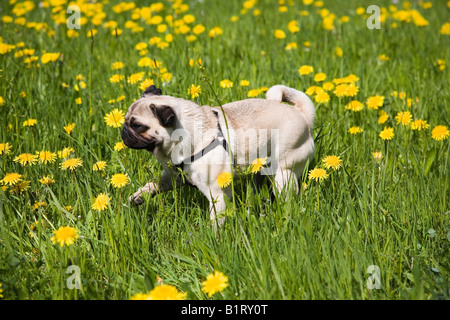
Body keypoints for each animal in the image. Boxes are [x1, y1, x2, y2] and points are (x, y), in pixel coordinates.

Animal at [121, 85, 314, 229]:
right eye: (126, 120)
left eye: (138, 126)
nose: (123, 131)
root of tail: (303, 114)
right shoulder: (173, 177)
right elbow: (153, 184)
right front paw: (138, 196)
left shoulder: (217, 194)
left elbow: (216, 222)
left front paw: (212, 238)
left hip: (284, 173)